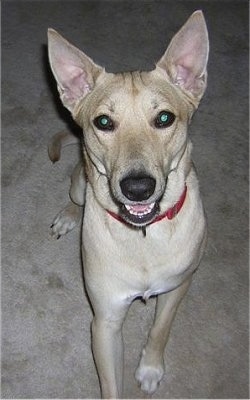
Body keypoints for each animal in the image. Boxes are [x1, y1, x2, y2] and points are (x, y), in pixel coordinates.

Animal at [47, 10, 209, 398]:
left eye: (164, 118)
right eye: (104, 122)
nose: (138, 188)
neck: (144, 238)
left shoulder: (178, 288)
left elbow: (160, 329)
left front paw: (150, 367)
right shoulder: (105, 321)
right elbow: (111, 384)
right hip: (80, 183)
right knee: (75, 196)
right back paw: (69, 215)